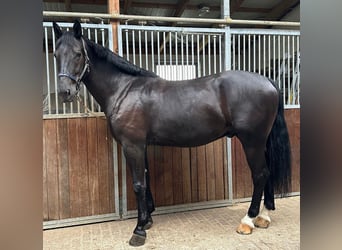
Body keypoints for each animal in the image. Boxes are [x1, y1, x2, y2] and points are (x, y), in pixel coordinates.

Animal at [52, 21, 290, 246]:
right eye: (55, 54)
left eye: (78, 54)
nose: (65, 92)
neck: (124, 90)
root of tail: (268, 81)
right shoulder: (141, 145)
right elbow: (145, 179)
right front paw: (147, 220)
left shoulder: (132, 145)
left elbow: (138, 184)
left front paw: (138, 231)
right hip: (262, 142)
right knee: (268, 172)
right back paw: (264, 217)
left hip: (252, 141)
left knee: (260, 174)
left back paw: (247, 221)